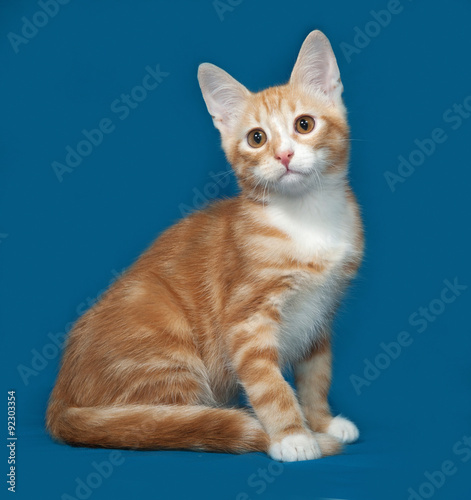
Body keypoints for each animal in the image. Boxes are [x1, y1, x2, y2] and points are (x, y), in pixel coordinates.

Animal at [47, 30, 366, 460]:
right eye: (256, 138)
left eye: (305, 124)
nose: (284, 155)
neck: (306, 219)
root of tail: (59, 401)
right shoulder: (247, 320)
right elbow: (269, 384)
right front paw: (292, 436)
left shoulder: (321, 315)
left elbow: (317, 374)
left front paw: (322, 421)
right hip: (163, 335)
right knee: (162, 423)